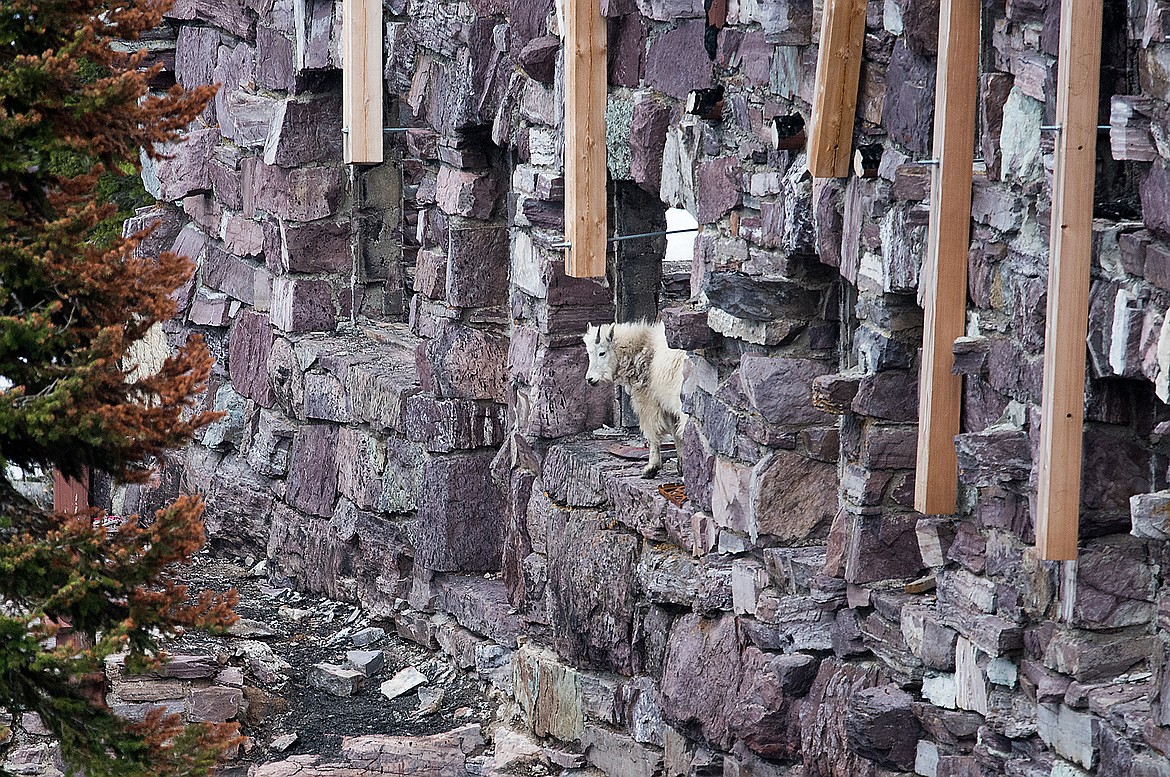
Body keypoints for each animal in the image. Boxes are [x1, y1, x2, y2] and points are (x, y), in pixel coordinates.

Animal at [582, 318, 683, 477]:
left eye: (602, 353)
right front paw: (681, 466)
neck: (641, 347)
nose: (590, 379)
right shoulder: (667, 406)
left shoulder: (649, 401)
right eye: (589, 352)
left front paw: (651, 468)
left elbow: (653, 433)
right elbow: (675, 433)